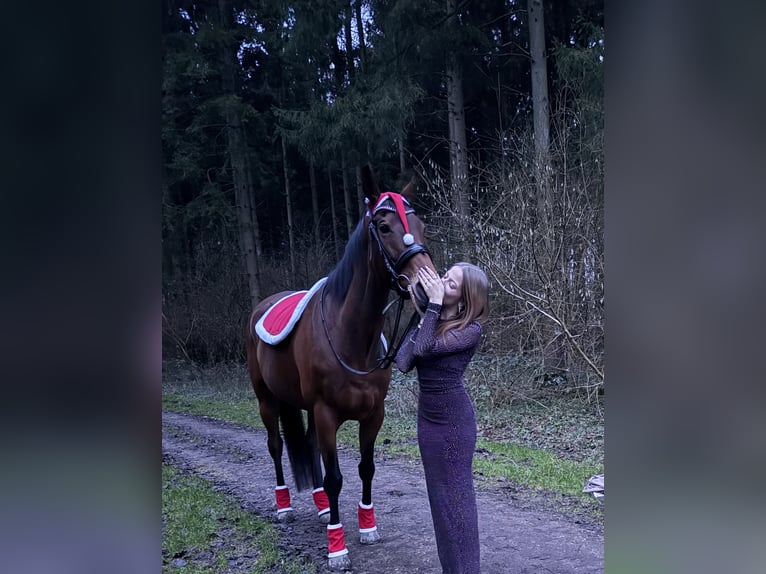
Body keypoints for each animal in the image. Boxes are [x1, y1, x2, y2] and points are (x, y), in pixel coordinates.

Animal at [245, 165, 435, 570]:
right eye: (383, 226)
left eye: (420, 223)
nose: (426, 290)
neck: (350, 336)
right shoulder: (326, 412)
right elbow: (335, 477)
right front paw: (337, 548)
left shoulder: (373, 414)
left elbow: (366, 468)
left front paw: (367, 526)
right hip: (267, 401)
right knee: (275, 446)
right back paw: (284, 507)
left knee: (308, 447)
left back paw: (320, 508)